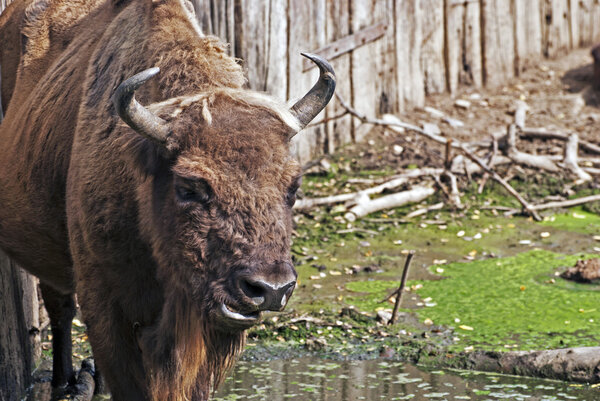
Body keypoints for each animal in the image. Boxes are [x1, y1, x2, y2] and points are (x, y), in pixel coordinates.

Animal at [0, 1, 338, 398]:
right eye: (190, 187)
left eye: (293, 186)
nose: (270, 289)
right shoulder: (106, 310)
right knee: (60, 308)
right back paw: (64, 382)